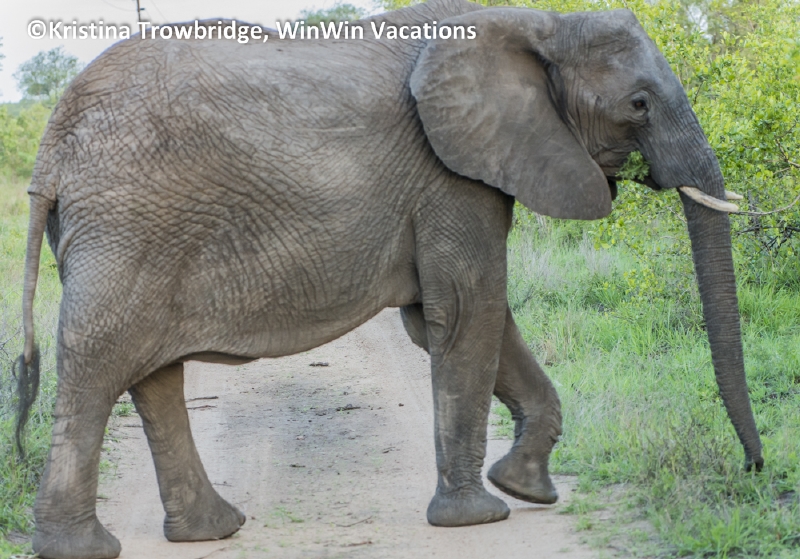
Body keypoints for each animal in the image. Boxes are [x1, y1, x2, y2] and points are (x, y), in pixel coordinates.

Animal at [15, 0, 763, 557]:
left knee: (153, 374)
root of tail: (51, 145)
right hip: (128, 227)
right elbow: (468, 311)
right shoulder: (449, 174)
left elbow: (461, 320)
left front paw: (527, 489)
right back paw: (82, 549)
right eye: (638, 104)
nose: (755, 469)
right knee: (97, 363)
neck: (537, 21)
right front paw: (479, 516)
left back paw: (211, 530)